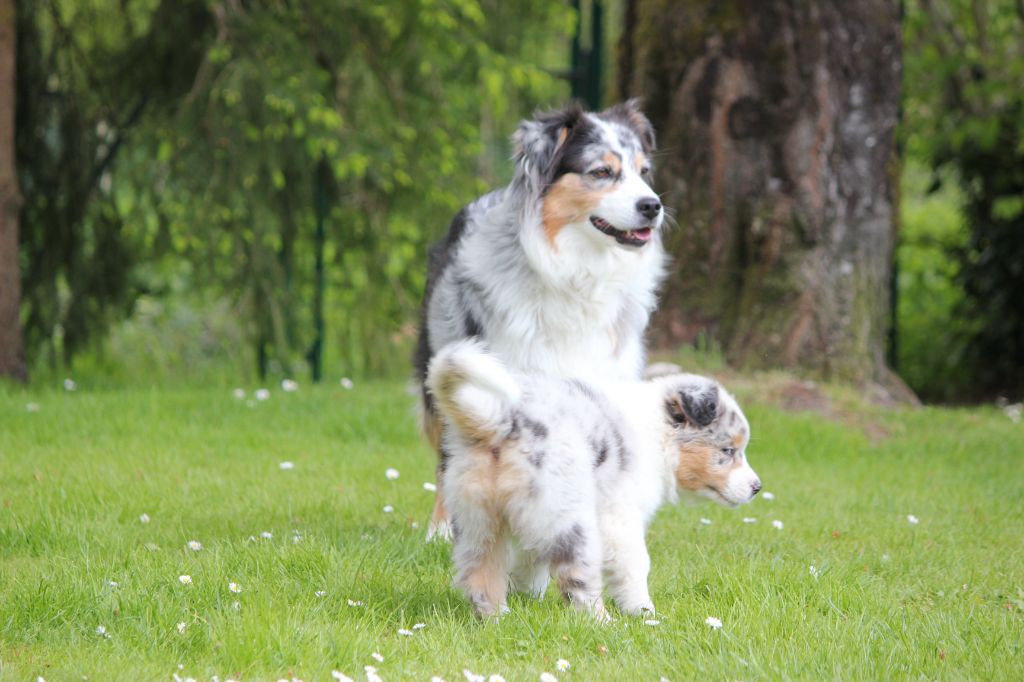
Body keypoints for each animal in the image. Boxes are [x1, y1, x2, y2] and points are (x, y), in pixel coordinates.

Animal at [423, 339, 761, 614]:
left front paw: (527, 595)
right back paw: (603, 623)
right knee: (577, 580)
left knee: (480, 573)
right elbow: (635, 564)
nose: (757, 488)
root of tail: (500, 422)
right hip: (570, 517)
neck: (659, 436)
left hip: (478, 520)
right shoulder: (619, 517)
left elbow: (530, 562)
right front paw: (644, 611)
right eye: (729, 450)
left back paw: (497, 619)